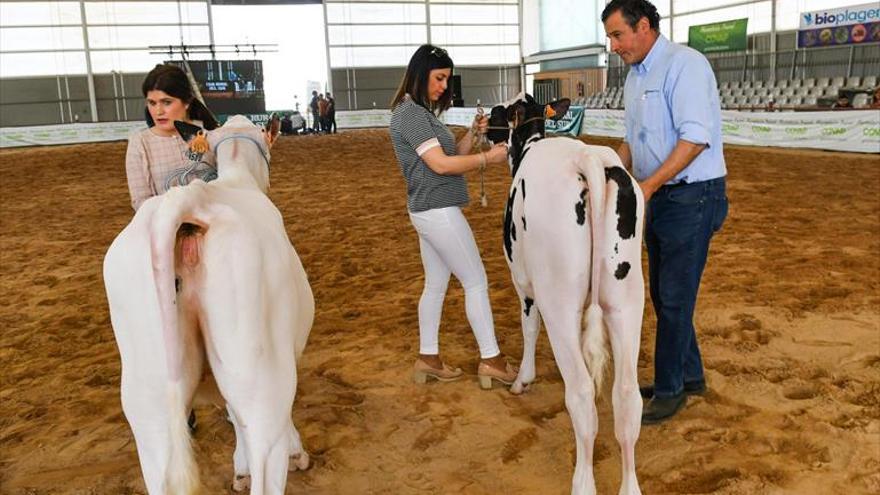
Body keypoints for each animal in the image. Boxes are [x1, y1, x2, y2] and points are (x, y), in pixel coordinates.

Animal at [102, 114, 312, 494]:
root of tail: (191, 200)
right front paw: (289, 455)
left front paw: (239, 469)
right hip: (261, 377)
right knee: (264, 454)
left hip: (148, 402)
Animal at [488, 94, 648, 495]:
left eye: (499, 112)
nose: (483, 127)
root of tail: (587, 157)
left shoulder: (524, 283)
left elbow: (529, 328)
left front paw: (522, 380)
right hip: (627, 301)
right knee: (626, 396)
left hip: (558, 301)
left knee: (581, 395)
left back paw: (583, 483)